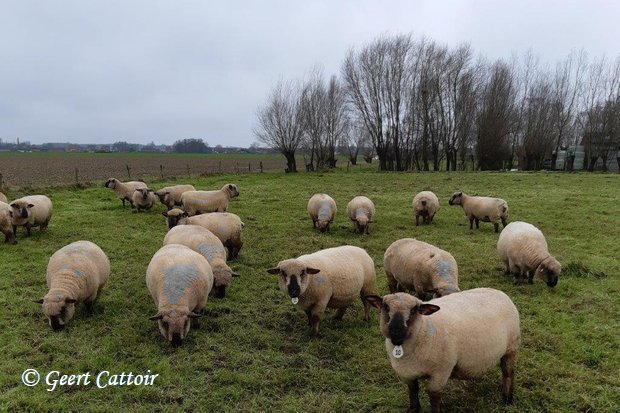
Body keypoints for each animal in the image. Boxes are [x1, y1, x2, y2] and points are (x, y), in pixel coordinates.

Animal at [366, 288, 520, 410]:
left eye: (414, 310)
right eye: (386, 307)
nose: (396, 332)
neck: (423, 328)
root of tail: (498, 291)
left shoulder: (440, 372)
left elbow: (434, 396)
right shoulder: (407, 375)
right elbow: (413, 392)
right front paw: (413, 409)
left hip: (511, 349)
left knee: (508, 373)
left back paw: (507, 399)